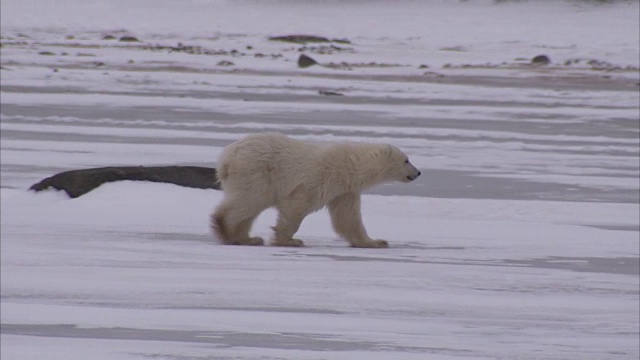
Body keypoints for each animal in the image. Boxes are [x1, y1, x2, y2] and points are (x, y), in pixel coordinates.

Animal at [210, 132, 420, 248]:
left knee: (250, 206)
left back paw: (248, 238)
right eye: (406, 160)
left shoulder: (344, 191)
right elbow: (296, 206)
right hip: (257, 171)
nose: (418, 172)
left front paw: (376, 242)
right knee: (250, 199)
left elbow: (347, 219)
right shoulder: (320, 179)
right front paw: (289, 241)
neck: (348, 165)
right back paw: (226, 230)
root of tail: (226, 158)